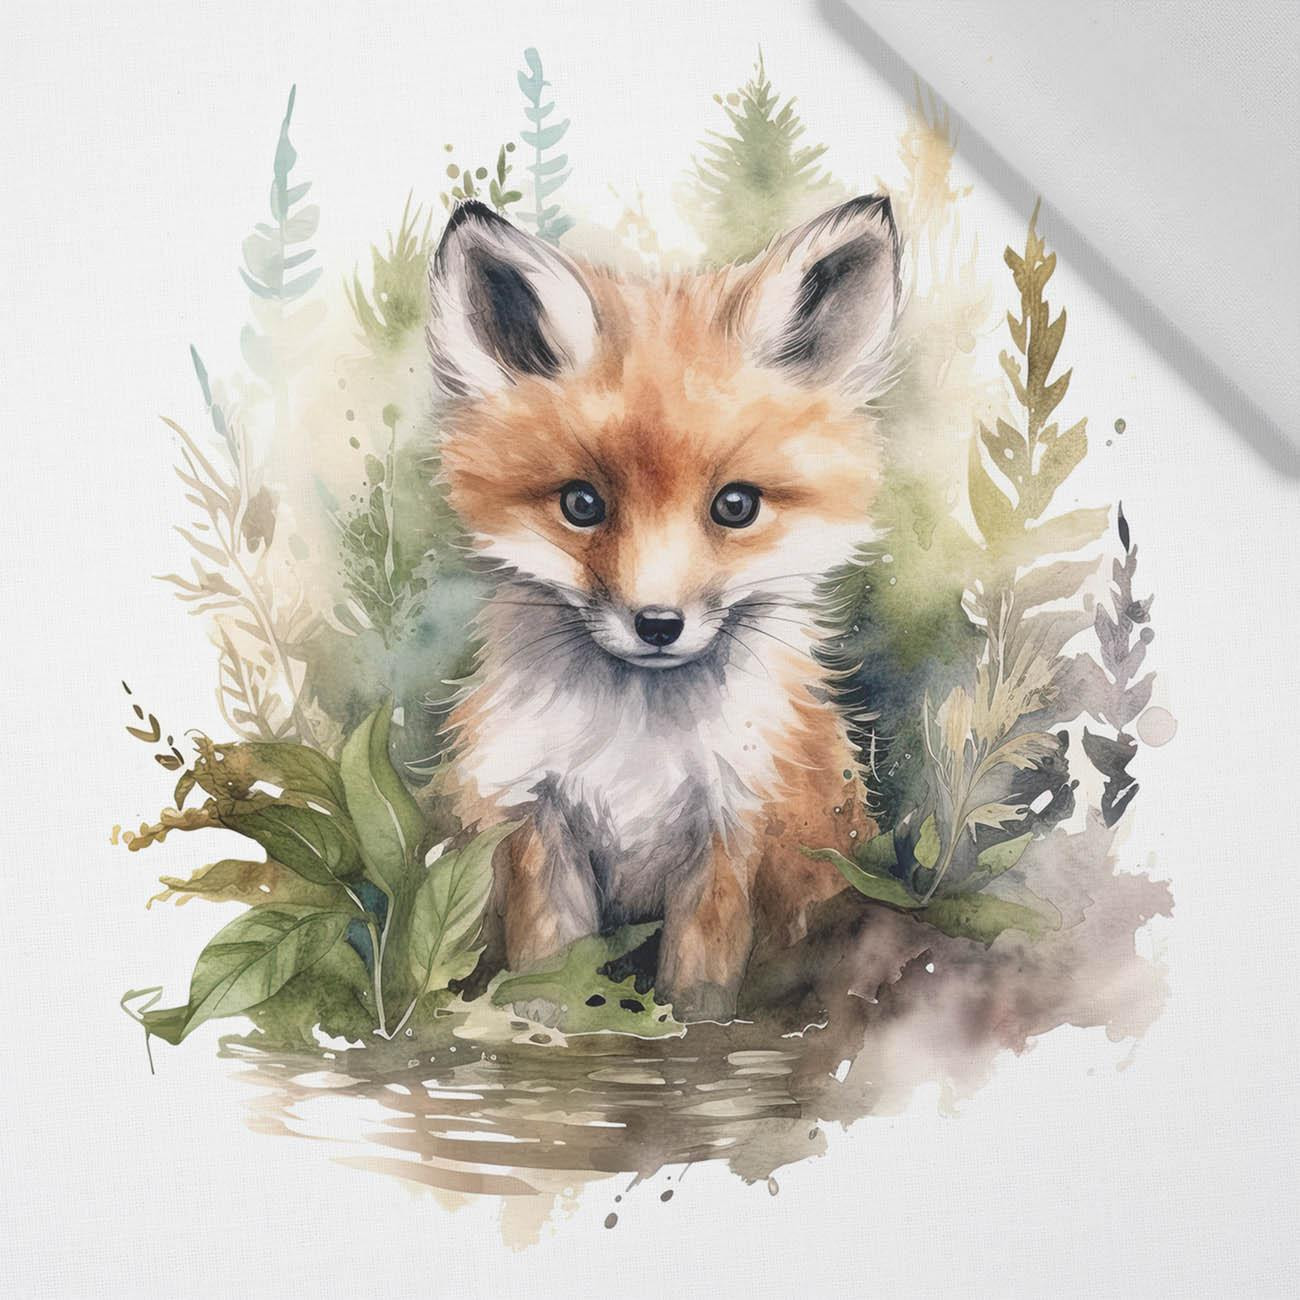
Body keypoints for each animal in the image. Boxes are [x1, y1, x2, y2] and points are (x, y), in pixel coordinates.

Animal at [426, 192, 901, 1022]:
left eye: (736, 505)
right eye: (582, 504)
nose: (657, 624)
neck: (636, 749)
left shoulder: (732, 830)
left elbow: (698, 996)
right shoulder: (539, 823)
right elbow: (548, 977)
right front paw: (543, 1038)